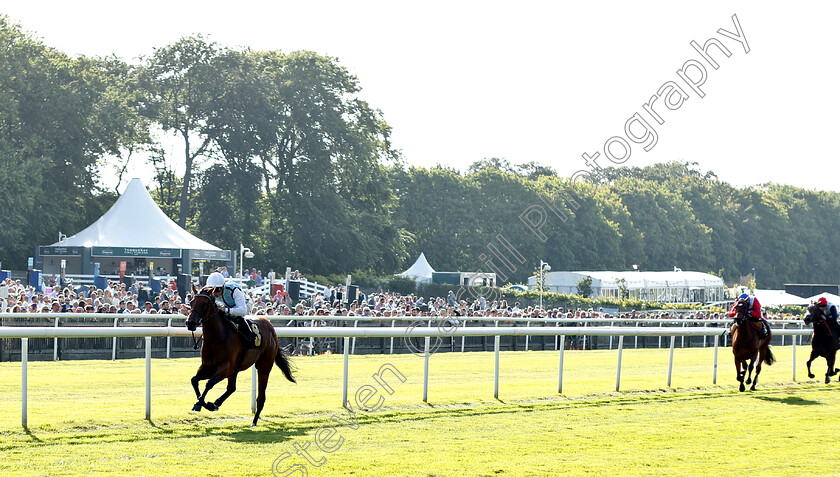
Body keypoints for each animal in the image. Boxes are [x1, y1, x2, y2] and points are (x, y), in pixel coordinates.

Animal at [186, 286, 296, 424]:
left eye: (204, 303)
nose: (190, 323)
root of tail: (270, 326)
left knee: (261, 395)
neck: (217, 337)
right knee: (231, 388)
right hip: (236, 369)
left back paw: (254, 420)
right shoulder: (208, 366)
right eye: (191, 302)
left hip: (264, 366)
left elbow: (209, 383)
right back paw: (216, 403)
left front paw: (200, 404)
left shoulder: (226, 367)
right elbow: (194, 380)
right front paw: (205, 403)